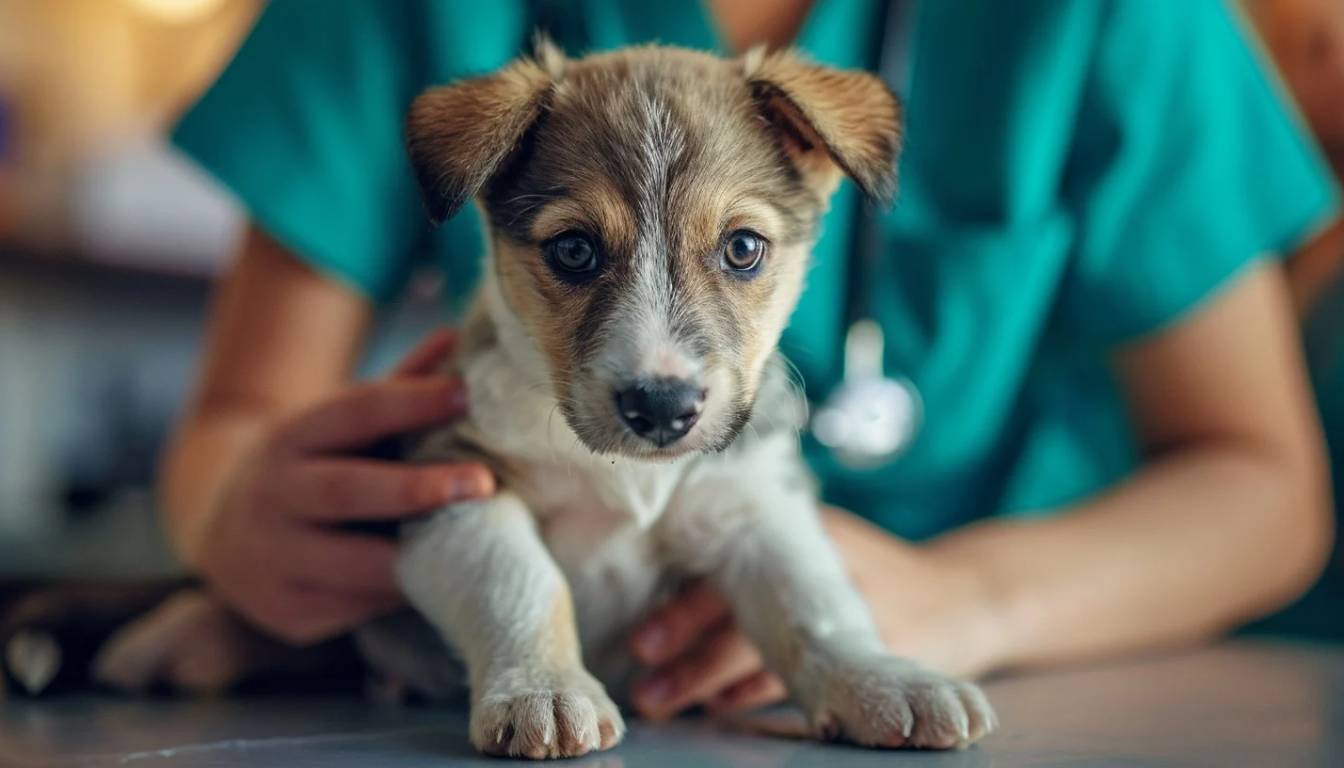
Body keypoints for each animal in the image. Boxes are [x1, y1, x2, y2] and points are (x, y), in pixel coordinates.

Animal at [389, 39, 999, 758]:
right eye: (574, 249)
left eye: (743, 247)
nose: (661, 407)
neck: (632, 478)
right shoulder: (456, 479)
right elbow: (520, 583)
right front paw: (543, 689)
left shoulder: (757, 507)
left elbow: (817, 605)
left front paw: (882, 680)